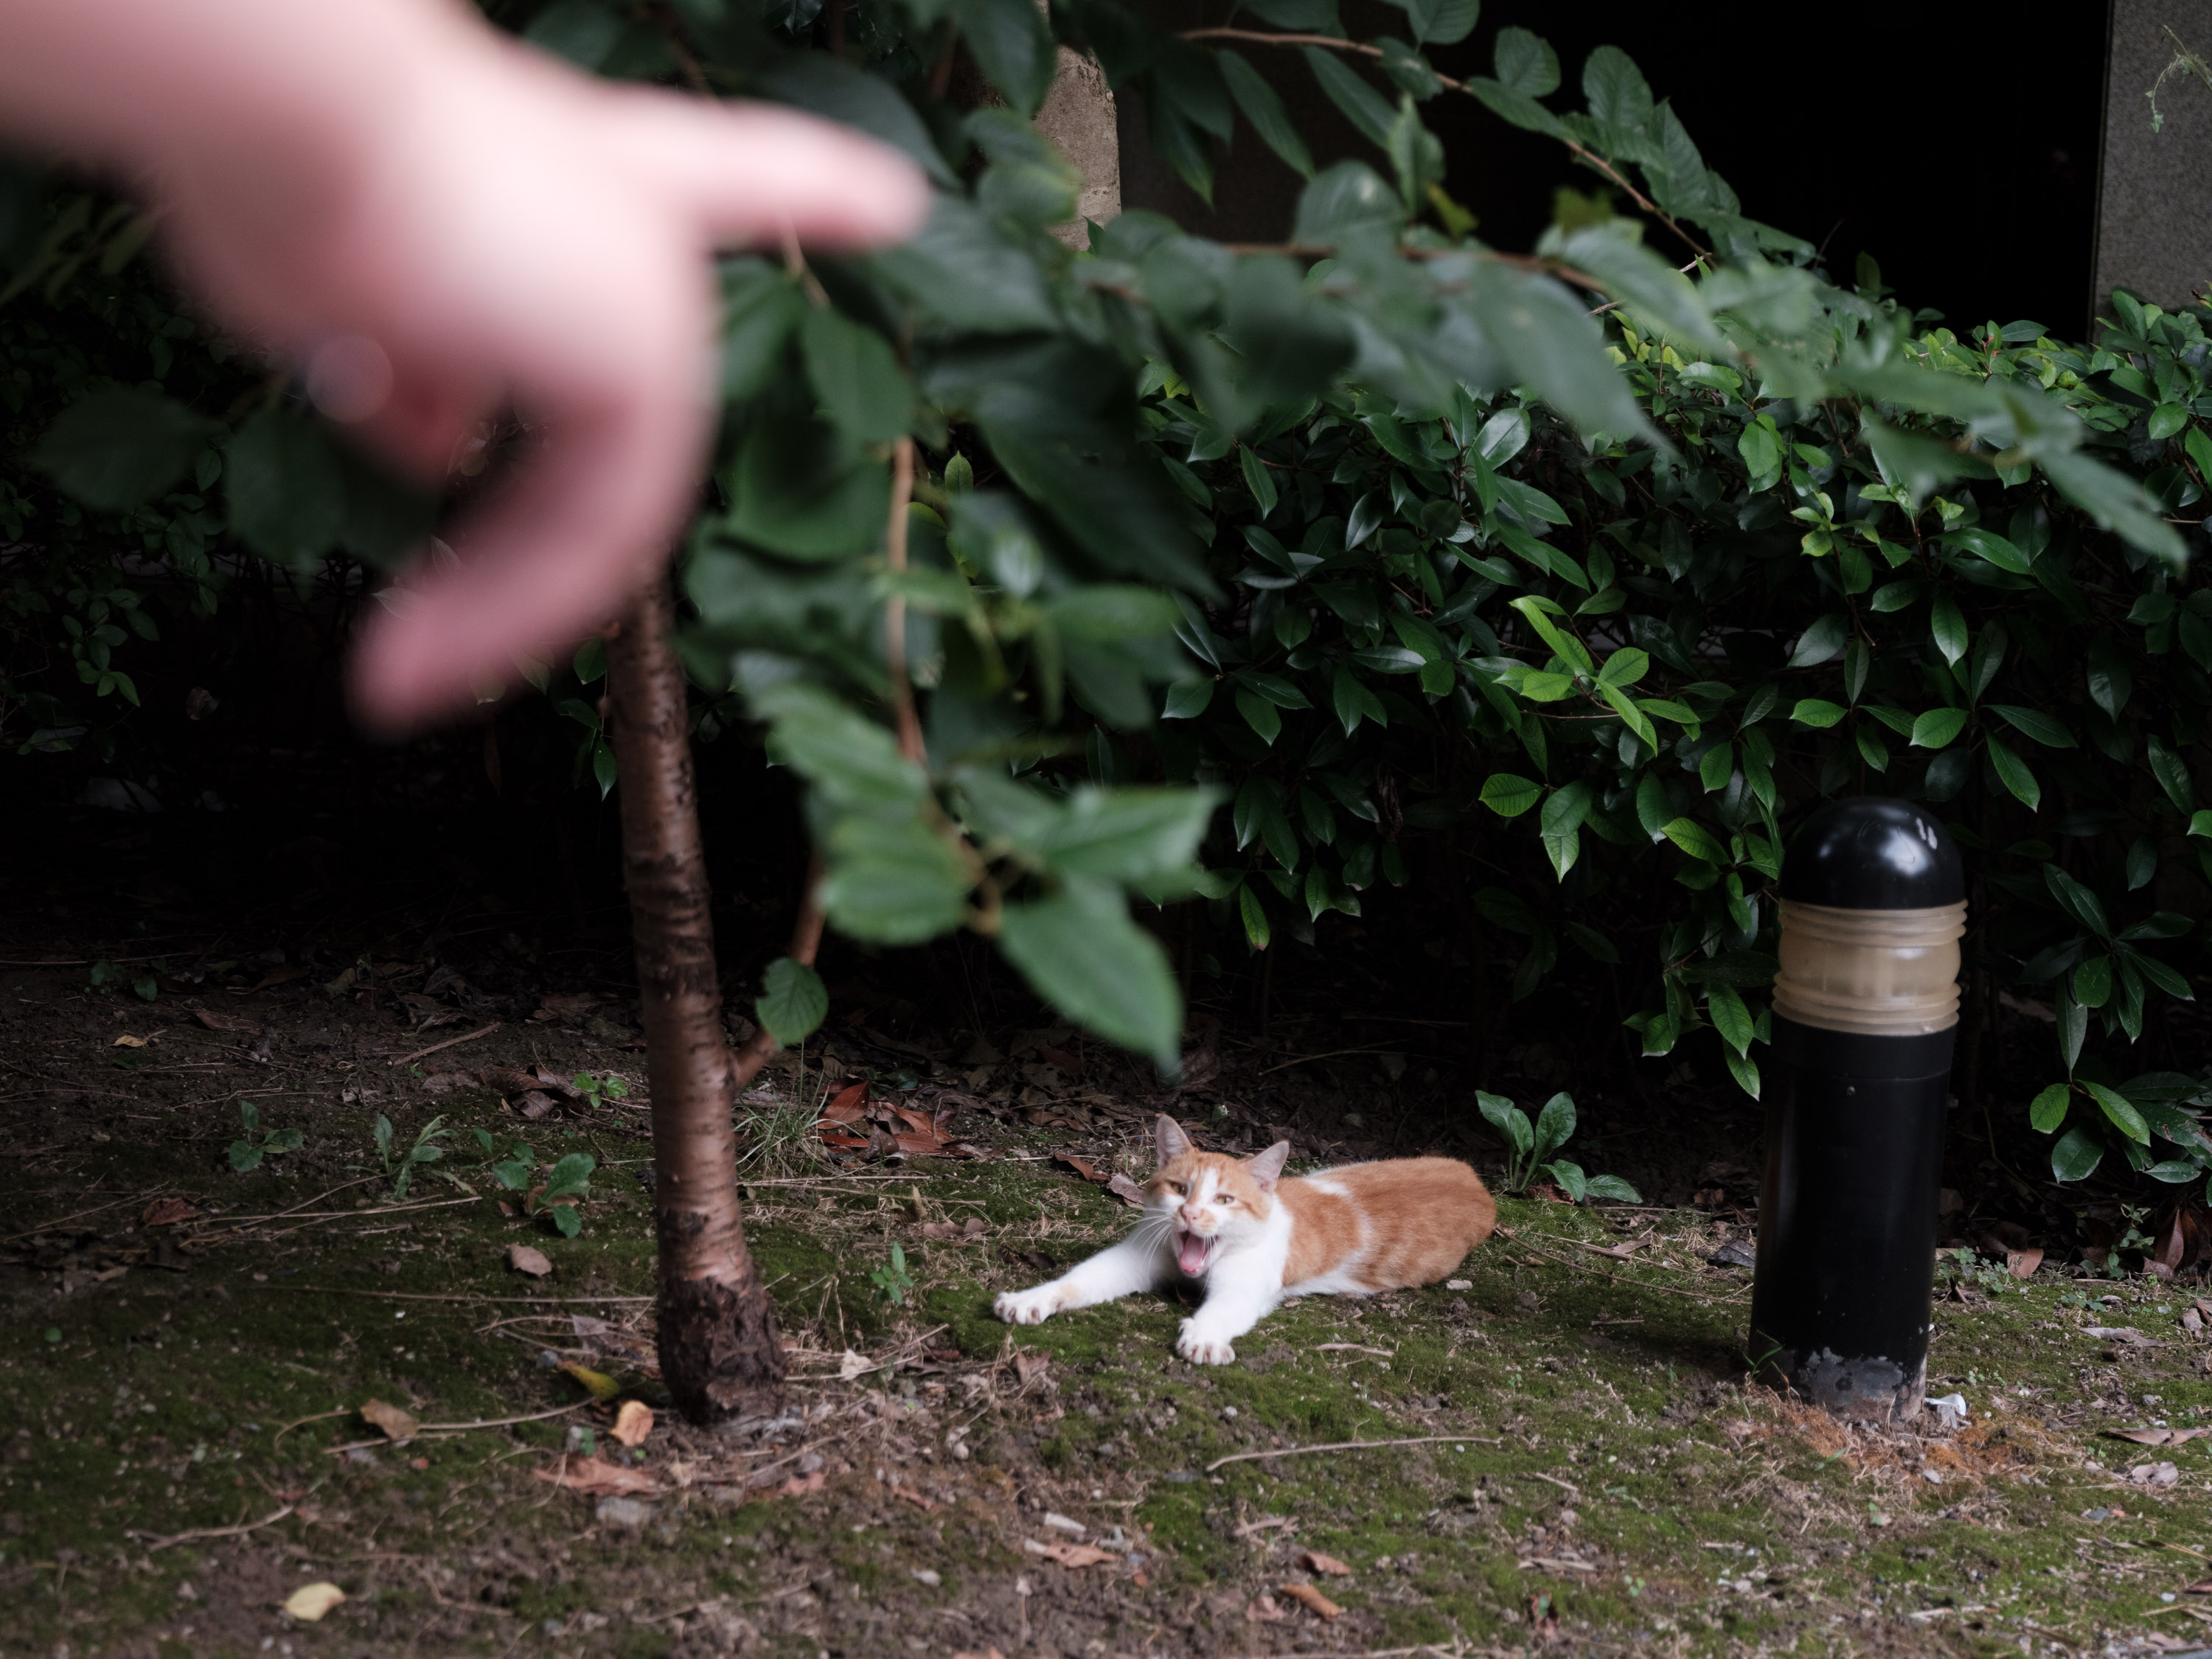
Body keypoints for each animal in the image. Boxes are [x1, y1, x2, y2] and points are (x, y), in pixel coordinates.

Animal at [994, 1115, 1496, 1364]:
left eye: (1224, 1199)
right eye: (1180, 1189)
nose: (1191, 1213)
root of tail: (1477, 1180)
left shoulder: (1246, 1284)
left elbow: (1225, 1308)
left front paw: (1204, 1335)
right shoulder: (1133, 1257)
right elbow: (1081, 1278)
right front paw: (1030, 1298)